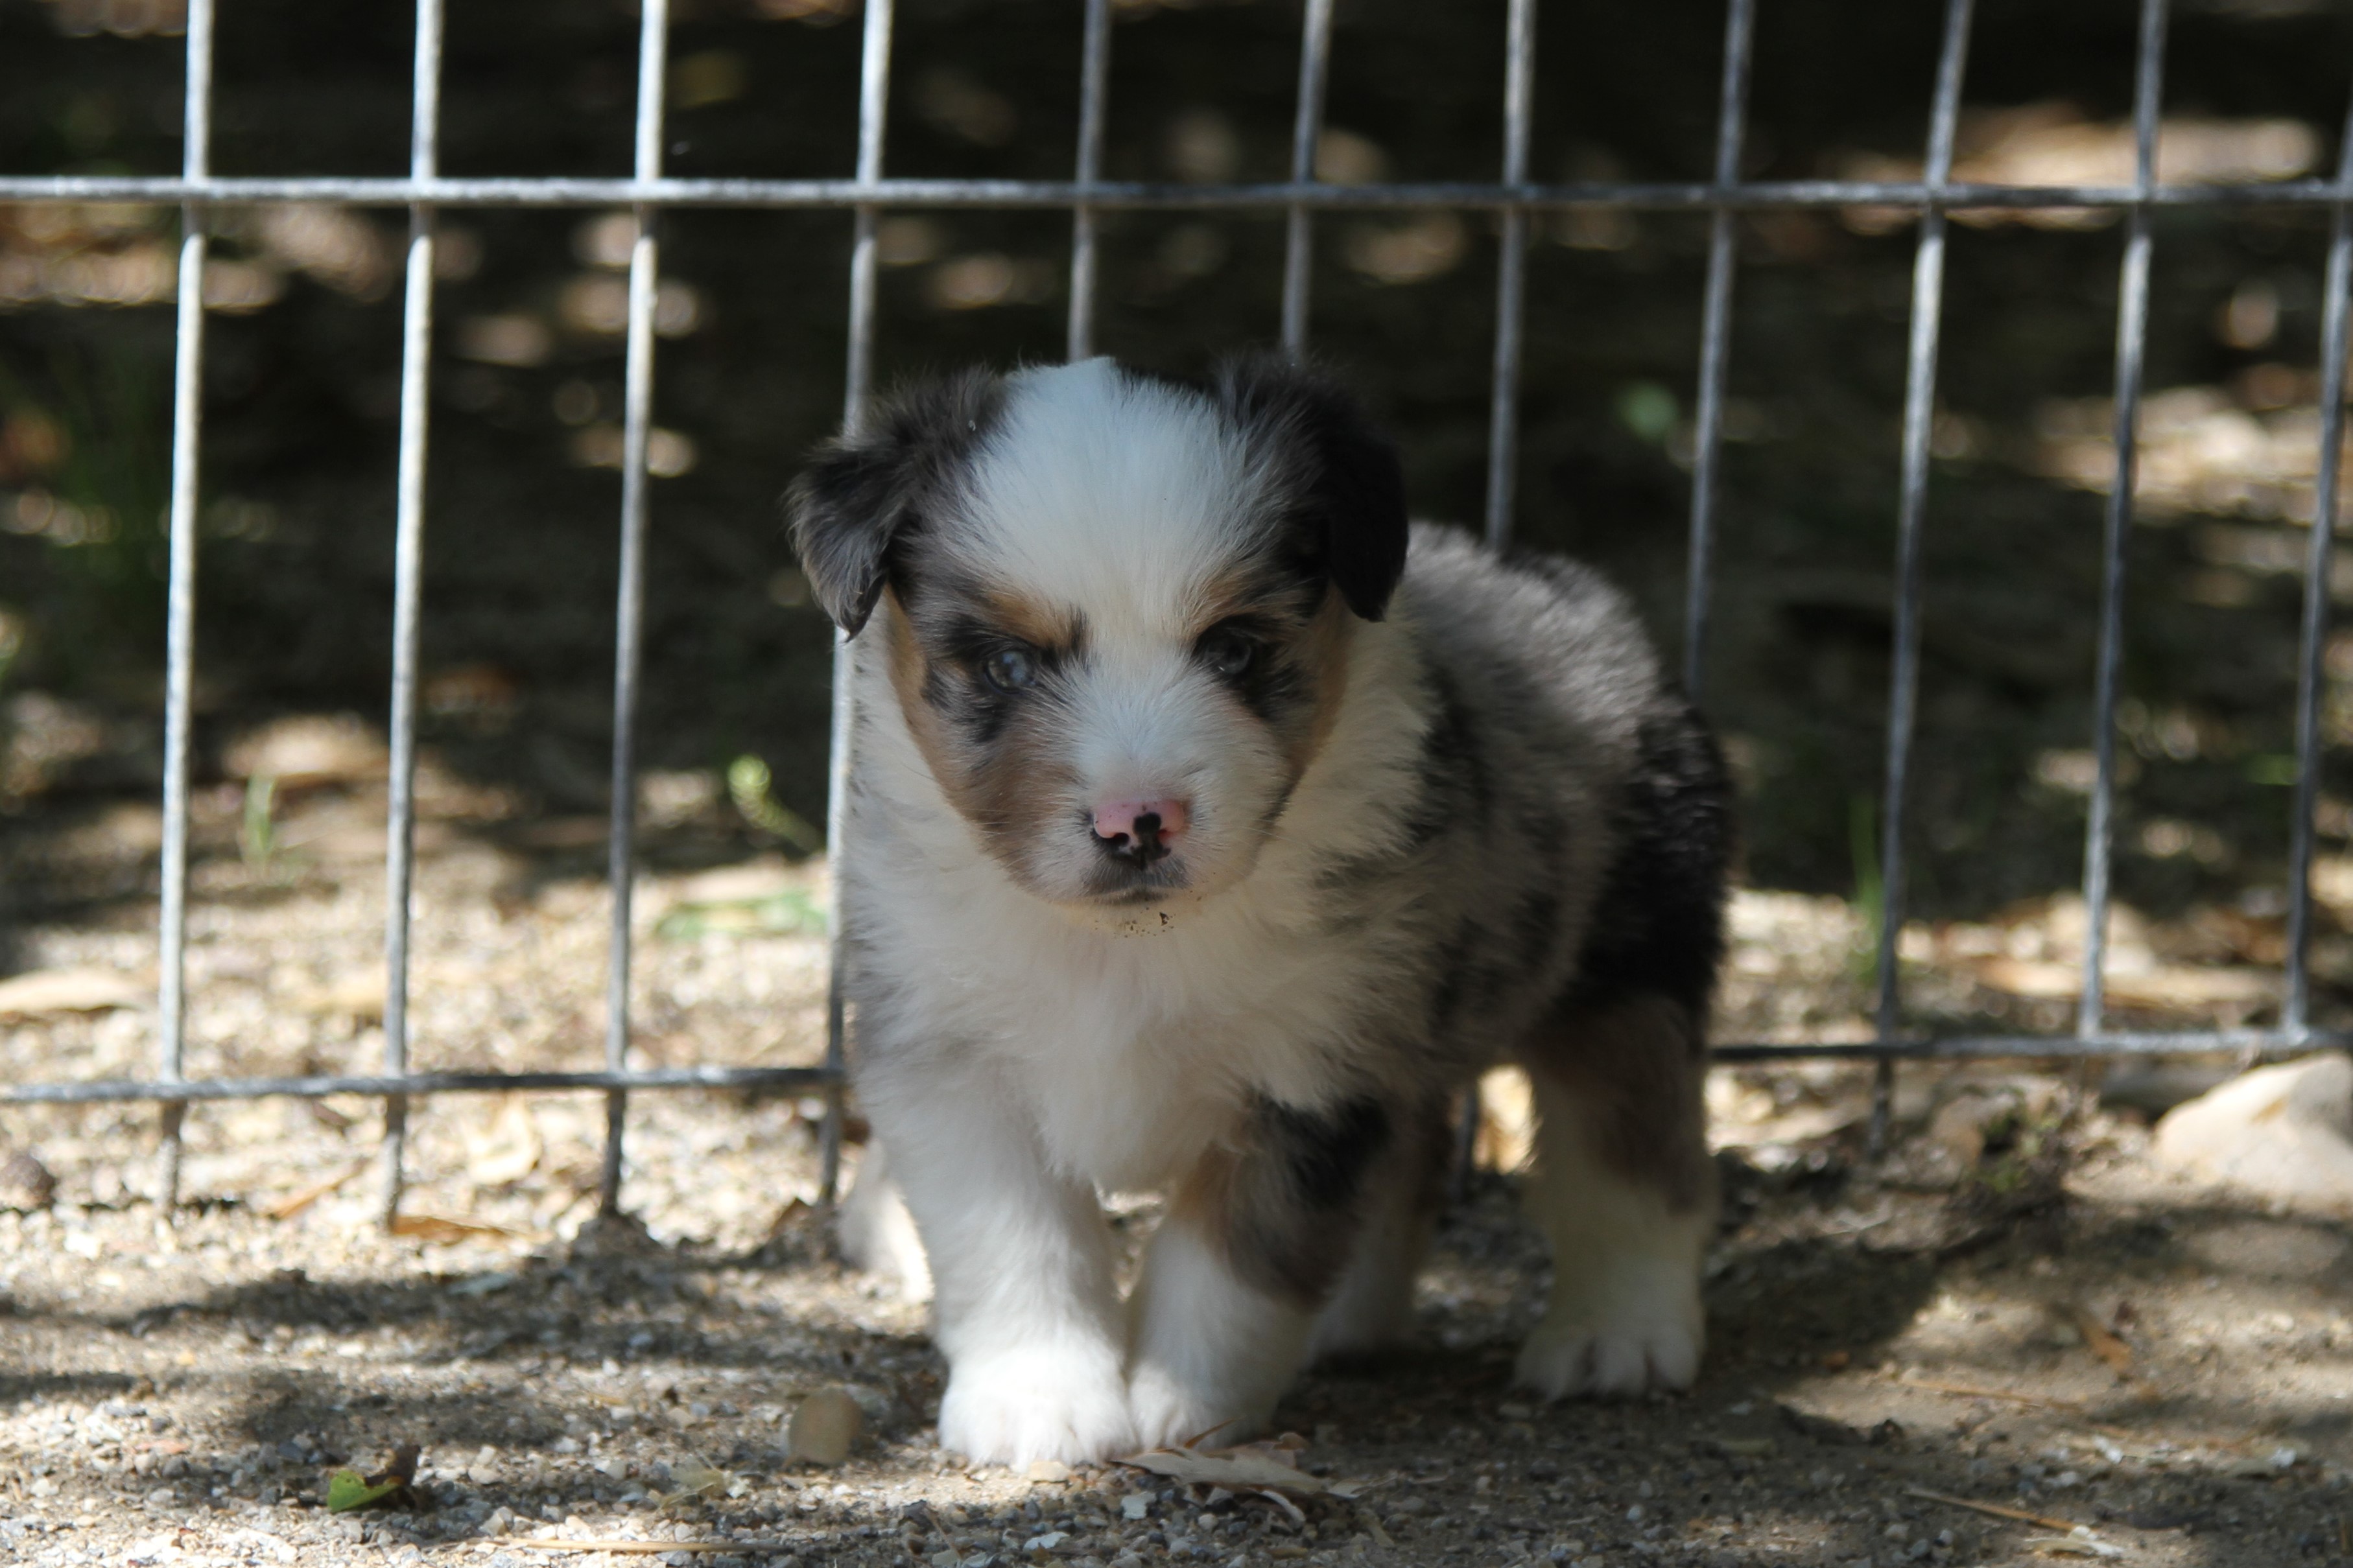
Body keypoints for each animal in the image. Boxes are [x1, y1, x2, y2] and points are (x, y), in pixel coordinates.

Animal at [786, 355, 1731, 1476]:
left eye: (1234, 647)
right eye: (1009, 666)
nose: (1135, 821)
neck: (1126, 946)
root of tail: (1560, 583)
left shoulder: (1314, 1068)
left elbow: (1234, 1260)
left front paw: (1179, 1405)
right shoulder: (950, 1056)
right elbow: (1014, 1240)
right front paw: (1040, 1403)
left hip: (1630, 960)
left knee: (1630, 1146)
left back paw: (1613, 1335)